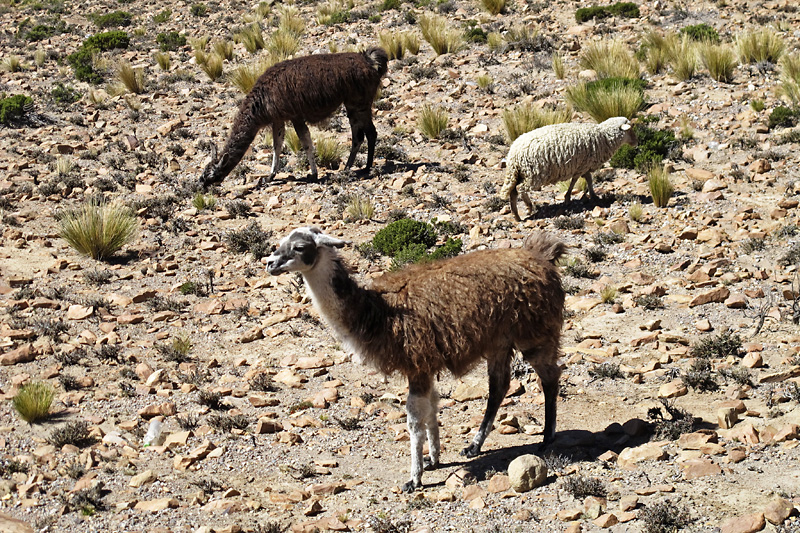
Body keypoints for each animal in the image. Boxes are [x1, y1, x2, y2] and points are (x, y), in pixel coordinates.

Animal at [500, 116, 636, 218]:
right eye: (629, 129)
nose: (636, 142)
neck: (604, 136)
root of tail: (513, 154)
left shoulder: (583, 166)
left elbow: (588, 180)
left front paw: (592, 195)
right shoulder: (582, 165)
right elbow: (576, 181)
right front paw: (569, 198)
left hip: (520, 173)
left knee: (513, 192)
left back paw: (516, 215)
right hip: (533, 173)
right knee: (520, 189)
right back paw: (528, 207)